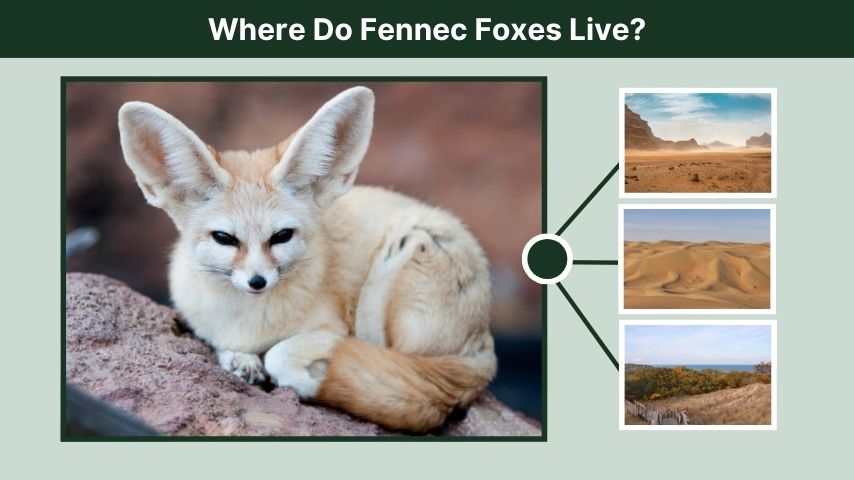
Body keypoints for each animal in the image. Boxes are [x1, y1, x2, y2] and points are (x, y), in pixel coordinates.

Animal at [117, 86, 497, 432]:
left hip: (403, 251)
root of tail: (485, 344)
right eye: (224, 238)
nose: (258, 282)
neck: (248, 319)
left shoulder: (333, 329)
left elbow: (282, 355)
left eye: (282, 236)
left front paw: (305, 378)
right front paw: (240, 360)